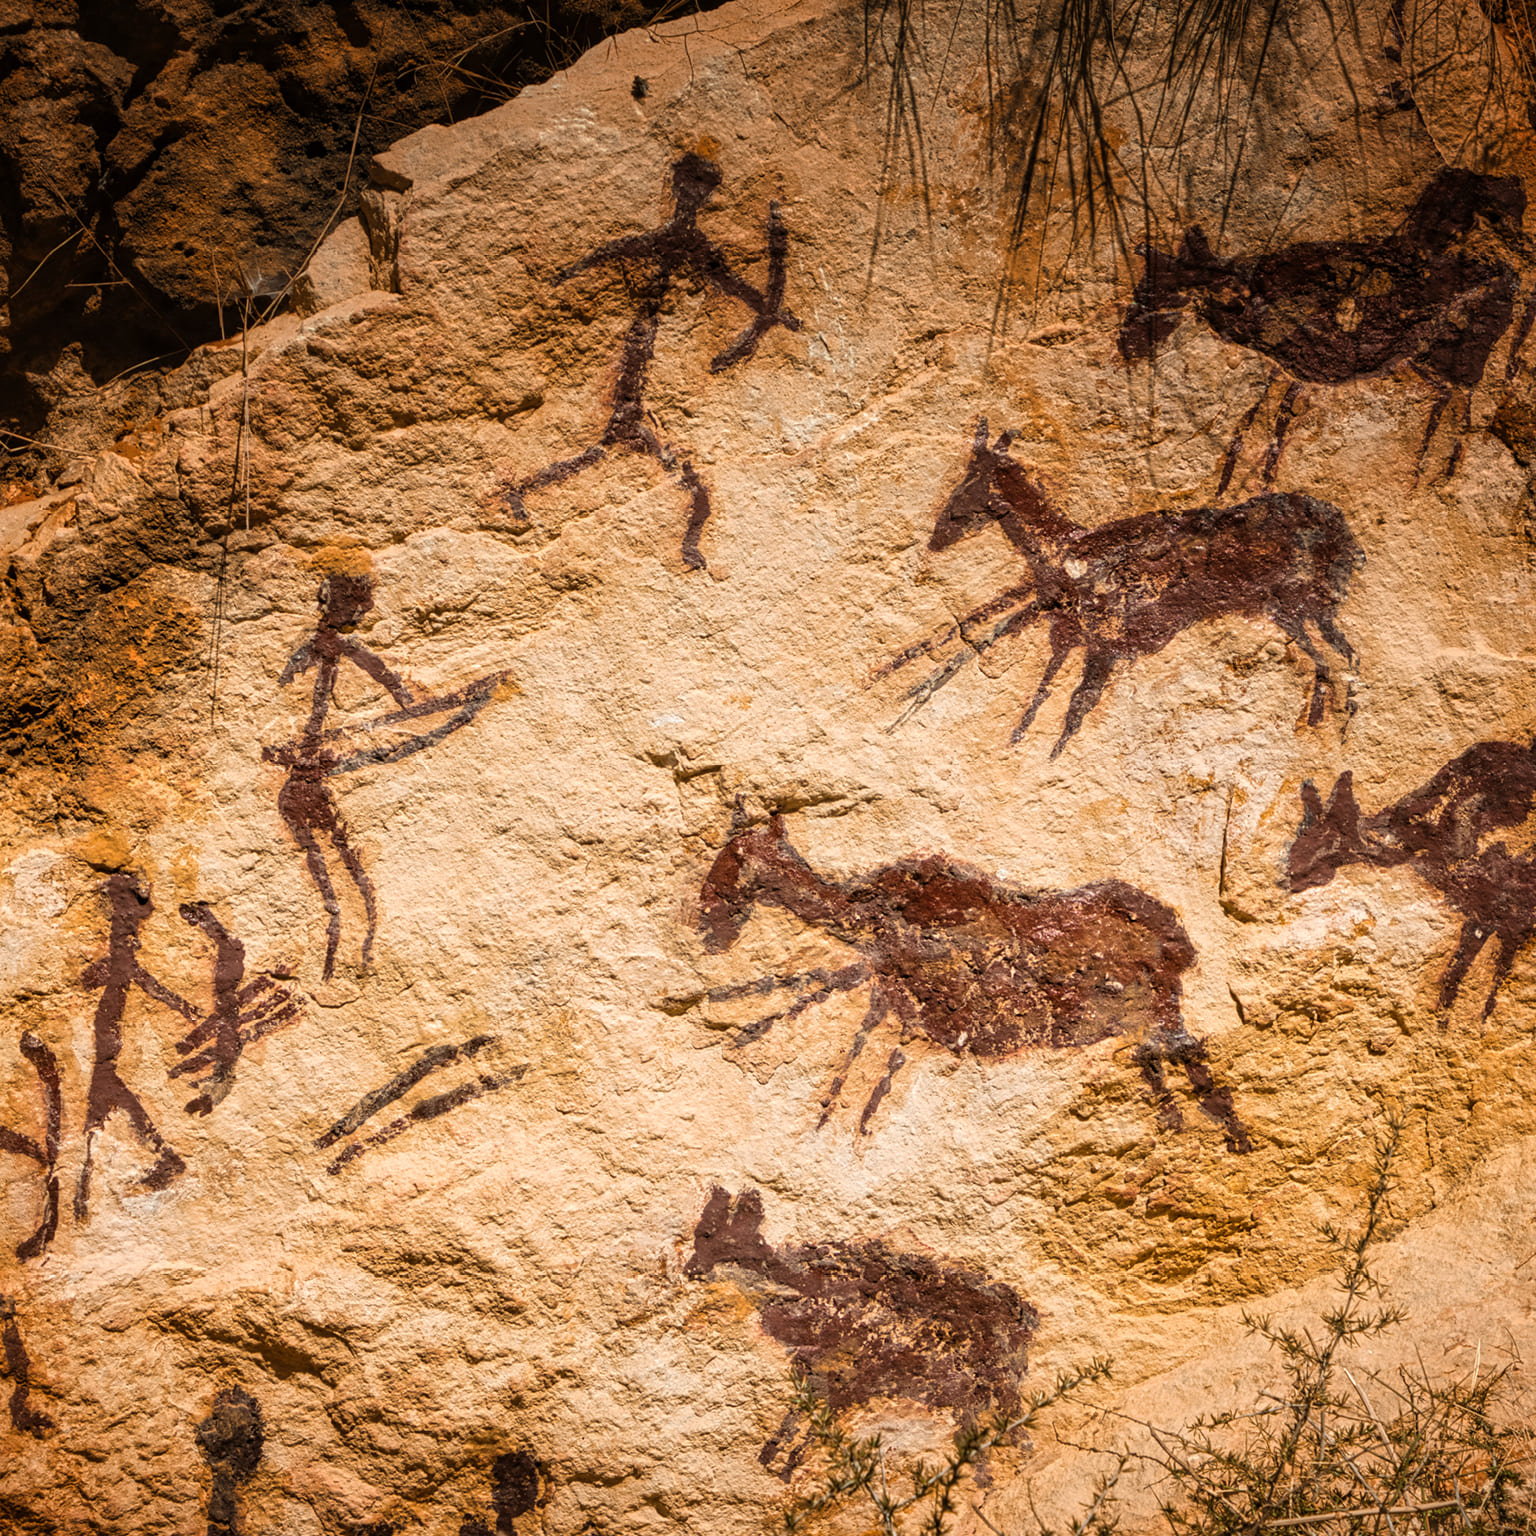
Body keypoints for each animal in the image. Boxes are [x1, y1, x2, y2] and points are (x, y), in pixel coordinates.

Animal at [691, 811, 1253, 1148]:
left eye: (734, 858)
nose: (706, 924)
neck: (870, 915)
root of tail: (1178, 937)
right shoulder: (895, 997)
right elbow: (845, 1024)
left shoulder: (913, 999)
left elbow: (845, 1027)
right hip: (1142, 1021)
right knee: (1157, 1067)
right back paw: (1176, 1134)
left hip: (1162, 1011)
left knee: (1193, 1065)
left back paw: (1231, 1141)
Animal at [872, 420, 1363, 755]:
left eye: (966, 487)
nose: (936, 539)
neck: (1071, 546)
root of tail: (1344, 533)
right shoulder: (1065, 627)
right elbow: (1018, 665)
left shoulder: (1095, 641)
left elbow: (1068, 704)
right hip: (1294, 612)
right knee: (1339, 657)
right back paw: (1332, 722)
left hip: (1294, 607)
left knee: (1337, 659)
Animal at [1284, 740, 1536, 1026]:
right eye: (1301, 830)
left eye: (1327, 833)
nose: (1289, 873)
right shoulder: (1483, 915)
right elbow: (1454, 980)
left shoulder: (1511, 920)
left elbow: (1488, 986)